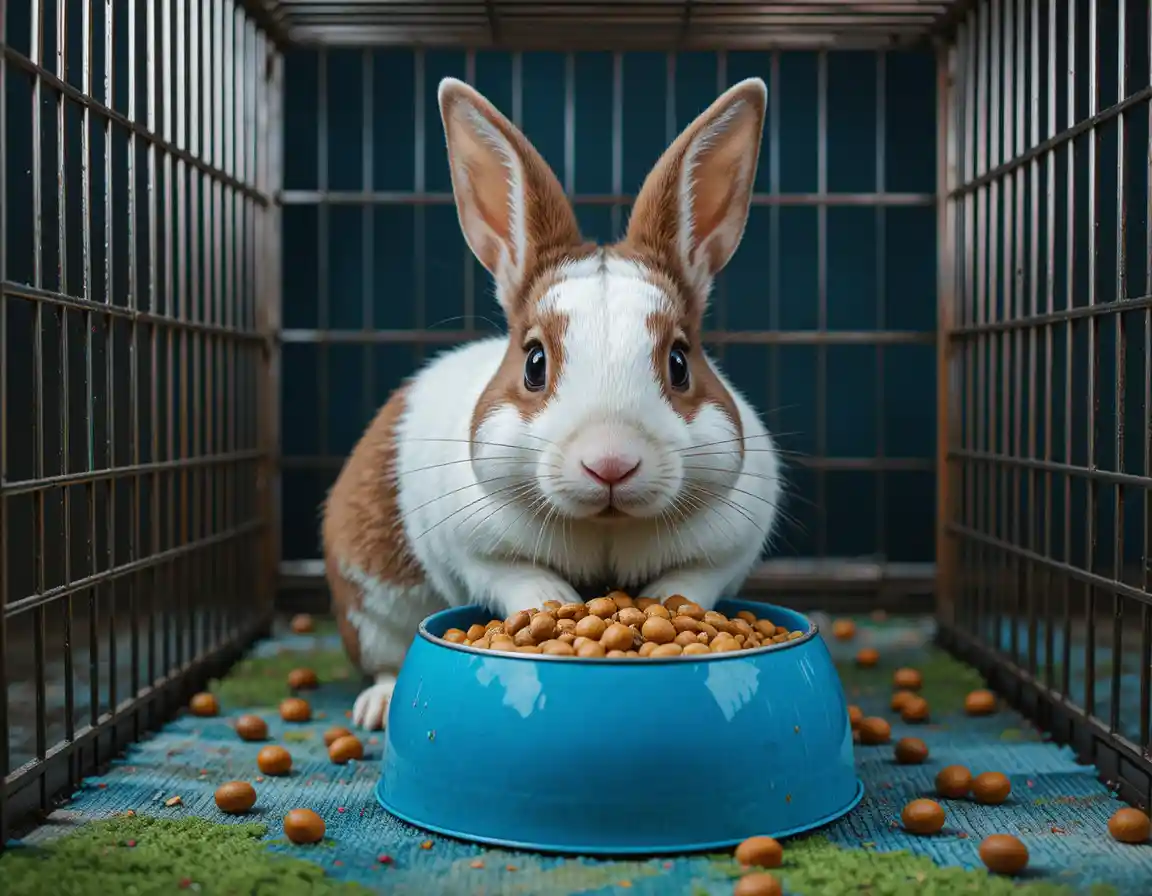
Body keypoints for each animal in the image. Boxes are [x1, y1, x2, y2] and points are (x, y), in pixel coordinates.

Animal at [322, 75, 783, 730]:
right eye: (534, 362)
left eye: (679, 362)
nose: (611, 463)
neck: (605, 527)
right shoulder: (475, 549)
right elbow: (520, 579)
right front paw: (557, 603)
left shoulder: (729, 544)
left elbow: (691, 585)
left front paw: (676, 625)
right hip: (372, 605)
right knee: (385, 659)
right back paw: (377, 709)